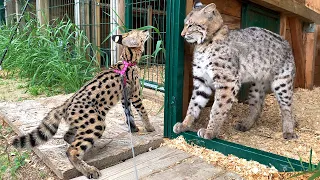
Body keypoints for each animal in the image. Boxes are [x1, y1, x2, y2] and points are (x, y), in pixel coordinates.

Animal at [10, 29, 154, 179]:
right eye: (140, 33)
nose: (147, 30)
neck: (127, 59)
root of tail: (65, 103)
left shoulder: (125, 98)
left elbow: (129, 115)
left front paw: (134, 128)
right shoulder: (135, 95)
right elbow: (143, 112)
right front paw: (150, 128)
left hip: (84, 123)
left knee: (68, 137)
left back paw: (91, 147)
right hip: (96, 123)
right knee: (71, 150)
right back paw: (89, 170)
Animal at [172, 1, 298, 140]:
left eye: (191, 25)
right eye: (185, 24)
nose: (182, 34)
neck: (203, 44)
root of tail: (285, 40)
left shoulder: (227, 81)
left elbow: (217, 108)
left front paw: (210, 132)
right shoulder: (202, 80)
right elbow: (193, 104)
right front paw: (185, 124)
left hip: (282, 83)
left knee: (287, 108)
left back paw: (288, 131)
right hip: (257, 86)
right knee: (258, 106)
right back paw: (246, 124)